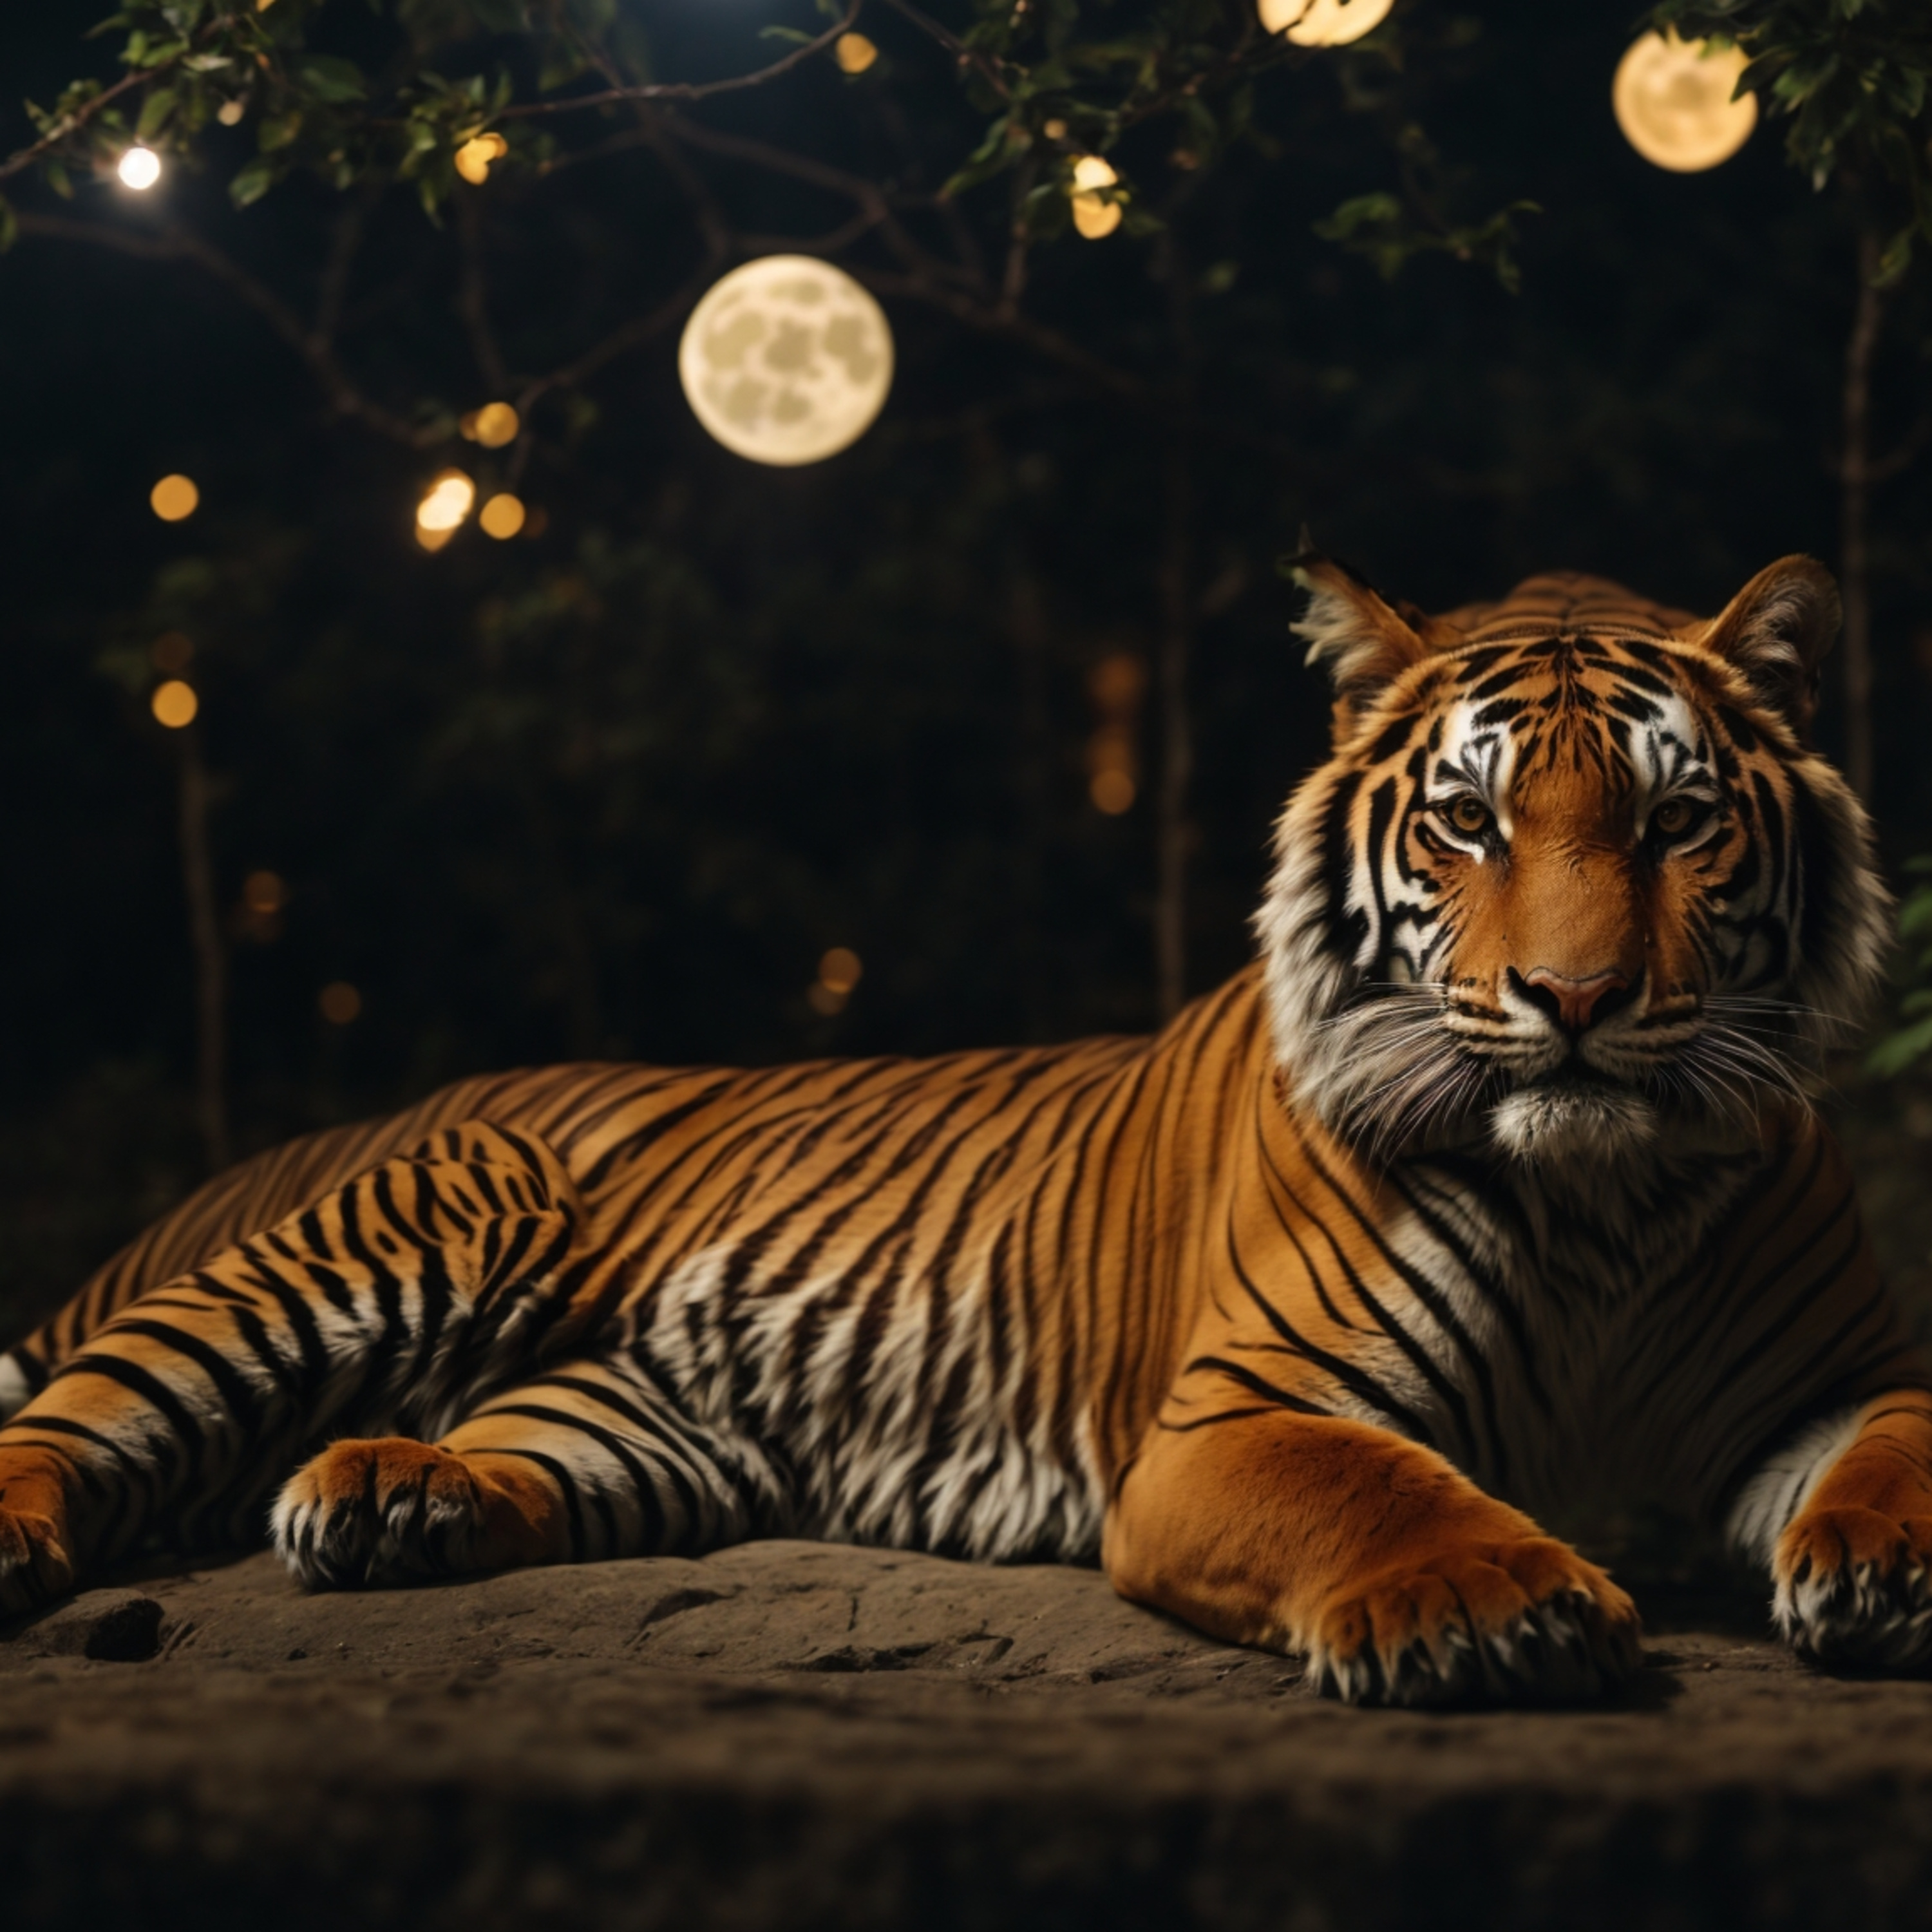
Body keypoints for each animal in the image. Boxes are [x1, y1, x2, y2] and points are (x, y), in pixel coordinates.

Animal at [2, 550, 1926, 1708]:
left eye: (1676, 823)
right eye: (1468, 823)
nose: (1575, 999)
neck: (1600, 1195)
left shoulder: (1844, 1375)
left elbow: (1897, 1451)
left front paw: (1887, 1572)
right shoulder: (1242, 1411)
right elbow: (1380, 1484)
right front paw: (1493, 1604)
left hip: (629, 1419)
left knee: (483, 1444)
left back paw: (391, 1495)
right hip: (401, 1230)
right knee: (77, 1411)